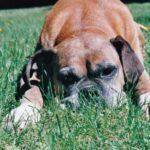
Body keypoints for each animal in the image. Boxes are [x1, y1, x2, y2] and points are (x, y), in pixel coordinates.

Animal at [4, 0, 150, 129]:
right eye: (67, 78)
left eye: (108, 71)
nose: (89, 91)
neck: (84, 26)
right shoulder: (32, 71)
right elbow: (31, 89)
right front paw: (24, 112)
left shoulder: (136, 66)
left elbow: (144, 82)